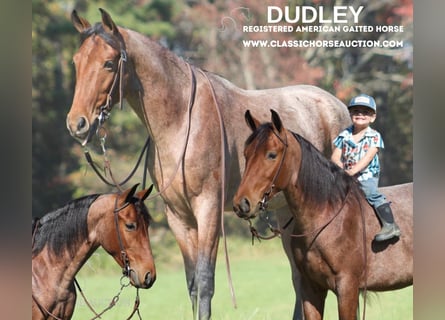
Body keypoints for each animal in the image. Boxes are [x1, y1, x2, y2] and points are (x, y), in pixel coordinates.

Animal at [65, 8, 350, 318]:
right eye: (76, 61)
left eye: (108, 63)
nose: (77, 123)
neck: (181, 122)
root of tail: (339, 107)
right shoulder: (179, 217)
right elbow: (192, 284)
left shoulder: (208, 208)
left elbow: (205, 281)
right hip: (286, 211)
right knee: (299, 276)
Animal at [232, 110, 412, 320]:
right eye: (246, 154)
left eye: (271, 155)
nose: (242, 203)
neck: (326, 217)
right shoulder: (311, 288)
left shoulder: (347, 288)